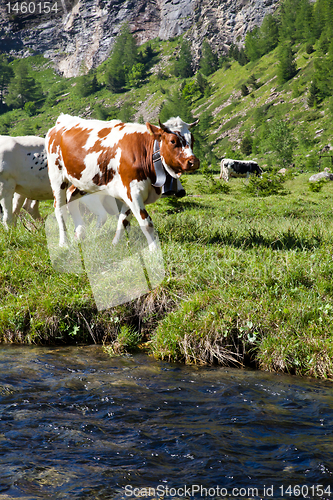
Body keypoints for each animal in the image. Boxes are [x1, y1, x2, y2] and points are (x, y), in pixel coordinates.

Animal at [45, 113, 198, 250]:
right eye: (173, 141)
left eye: (193, 140)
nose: (193, 162)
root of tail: (62, 121)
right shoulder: (133, 192)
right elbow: (146, 223)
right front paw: (154, 250)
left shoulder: (127, 194)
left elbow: (123, 221)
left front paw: (115, 245)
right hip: (57, 177)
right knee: (60, 209)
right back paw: (64, 243)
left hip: (84, 182)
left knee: (71, 198)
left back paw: (79, 233)